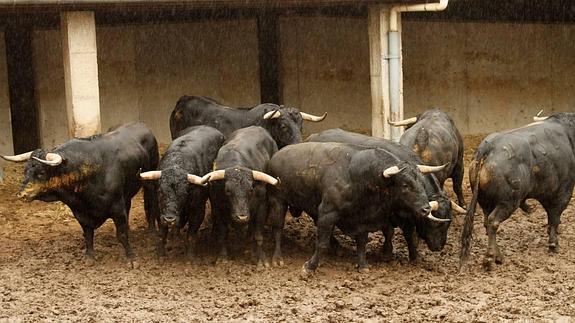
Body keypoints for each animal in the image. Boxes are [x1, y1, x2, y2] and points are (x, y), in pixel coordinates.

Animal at [1, 123, 160, 266]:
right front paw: (89, 257)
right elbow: (88, 235)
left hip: (149, 182)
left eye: (41, 172)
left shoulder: (117, 208)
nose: (21, 194)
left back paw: (152, 230)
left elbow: (121, 234)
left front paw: (131, 258)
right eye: (25, 170)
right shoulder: (80, 212)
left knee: (151, 202)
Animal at [462, 114, 575, 270]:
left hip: (485, 201)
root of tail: (487, 148)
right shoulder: (563, 192)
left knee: (487, 222)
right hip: (508, 202)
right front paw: (553, 244)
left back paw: (497, 256)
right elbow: (554, 217)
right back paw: (490, 258)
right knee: (493, 221)